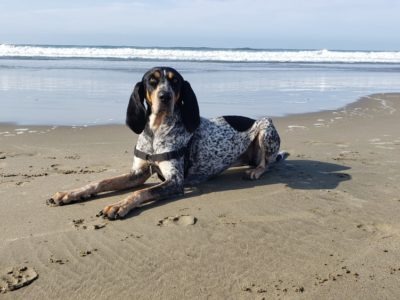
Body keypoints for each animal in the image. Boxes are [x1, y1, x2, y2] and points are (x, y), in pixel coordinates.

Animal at [47, 67, 288, 219]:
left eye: (175, 82)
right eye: (152, 81)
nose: (165, 96)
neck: (156, 131)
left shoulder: (175, 180)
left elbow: (140, 193)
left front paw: (119, 205)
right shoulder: (138, 174)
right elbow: (101, 181)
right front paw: (73, 193)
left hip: (266, 126)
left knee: (268, 162)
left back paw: (256, 171)